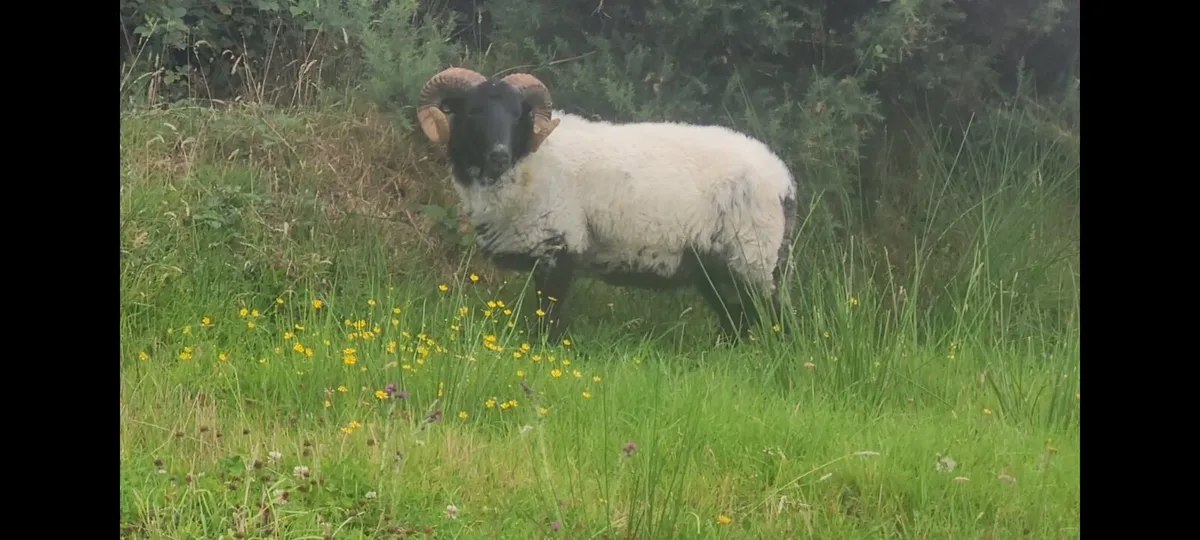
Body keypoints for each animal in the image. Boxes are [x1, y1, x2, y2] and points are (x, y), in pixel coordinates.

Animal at [415, 67, 800, 343]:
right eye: (472, 112)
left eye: (518, 115)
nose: (499, 155)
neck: (529, 160)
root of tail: (783, 180)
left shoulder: (560, 246)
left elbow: (548, 313)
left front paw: (542, 351)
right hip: (715, 264)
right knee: (737, 316)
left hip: (753, 256)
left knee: (773, 314)